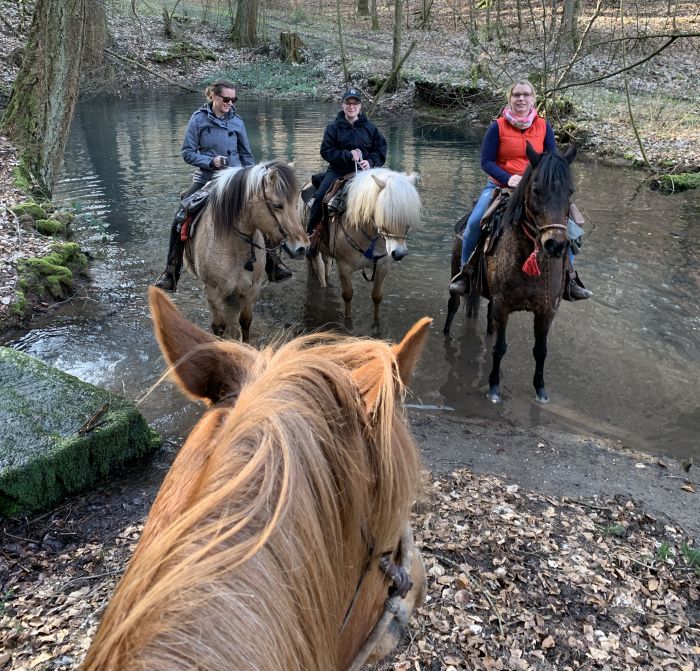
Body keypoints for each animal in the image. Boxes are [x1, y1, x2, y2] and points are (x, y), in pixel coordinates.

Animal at [185, 161, 308, 342]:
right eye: (277, 205)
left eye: (295, 203)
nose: (303, 247)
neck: (235, 247)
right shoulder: (213, 292)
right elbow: (219, 327)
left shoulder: (252, 289)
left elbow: (245, 321)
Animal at [446, 143, 576, 404]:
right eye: (536, 189)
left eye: (570, 192)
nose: (556, 244)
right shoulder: (502, 305)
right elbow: (500, 348)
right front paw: (494, 387)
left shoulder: (547, 310)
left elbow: (540, 350)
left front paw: (540, 390)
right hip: (458, 277)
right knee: (452, 307)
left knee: (489, 325)